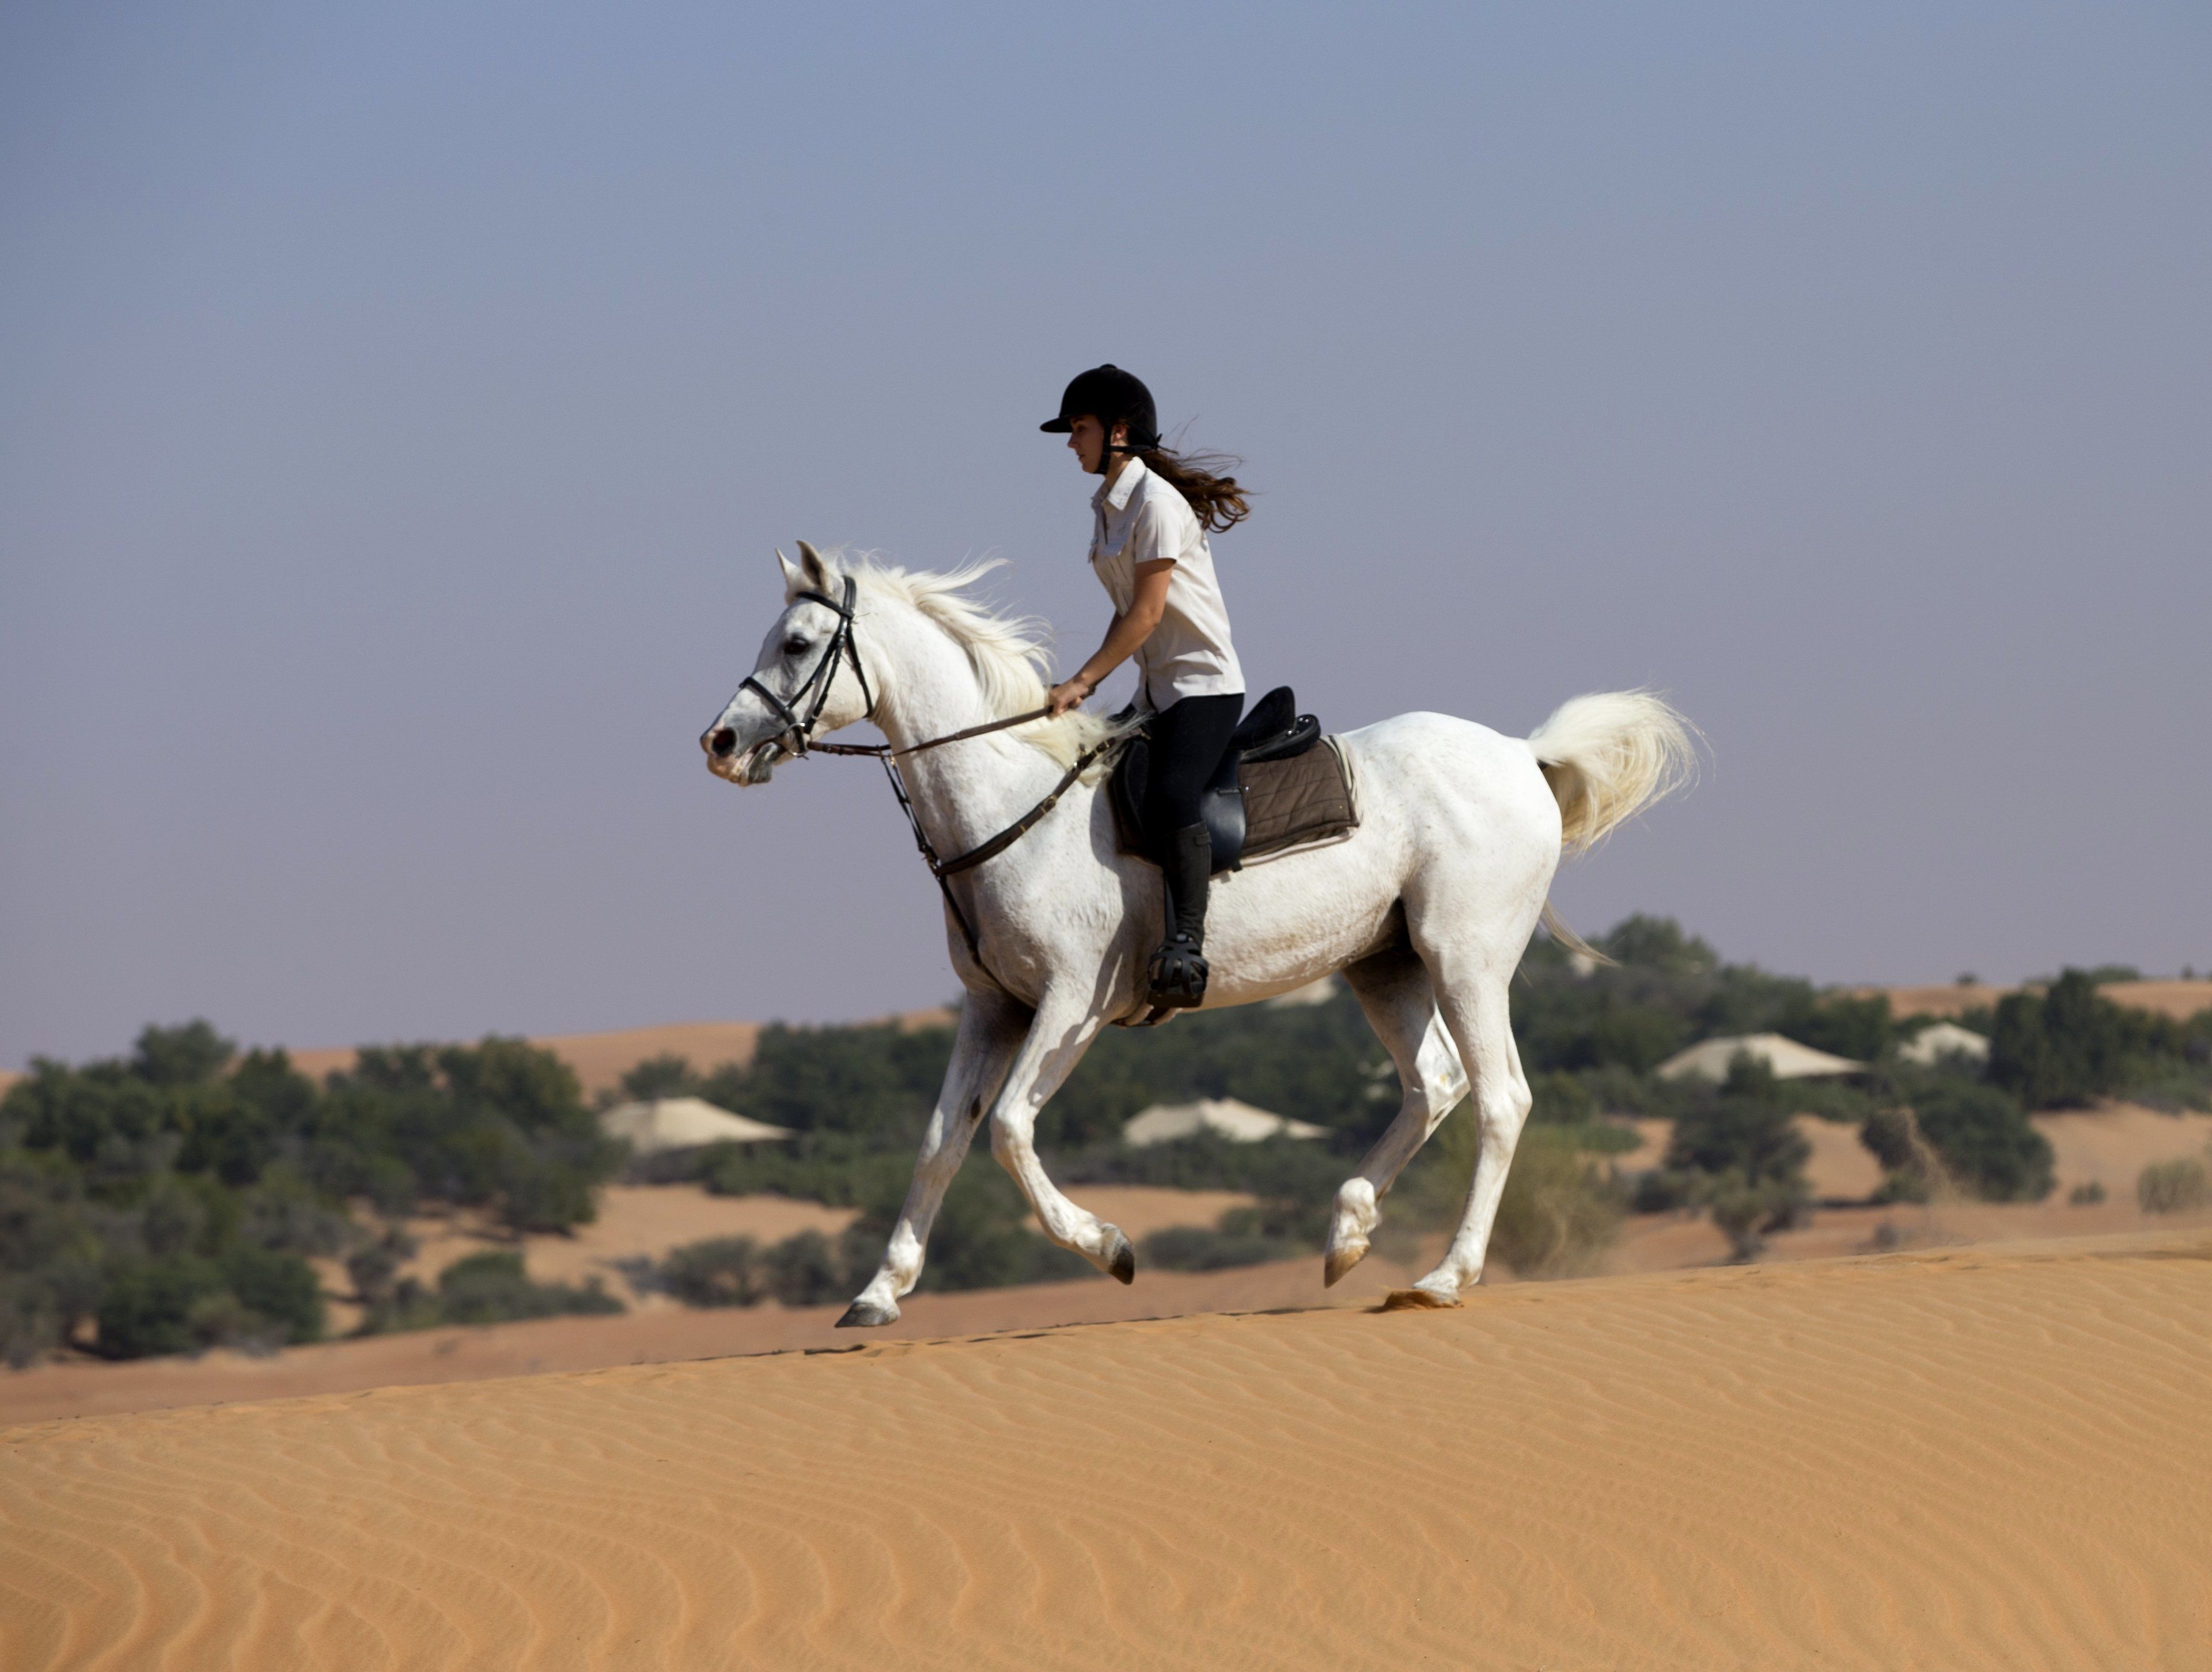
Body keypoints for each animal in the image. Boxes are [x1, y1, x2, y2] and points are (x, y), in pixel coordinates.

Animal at [702, 541, 1693, 1323]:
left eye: (796, 644)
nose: (720, 742)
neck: (1014, 802)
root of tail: (1522, 753)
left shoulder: (1070, 1005)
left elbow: (1011, 1131)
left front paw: (1110, 1245)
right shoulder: (993, 1009)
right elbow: (941, 1142)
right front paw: (879, 1291)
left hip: (1466, 958)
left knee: (1500, 1099)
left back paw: (1444, 1275)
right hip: (1386, 966)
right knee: (1434, 1085)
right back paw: (1347, 1233)